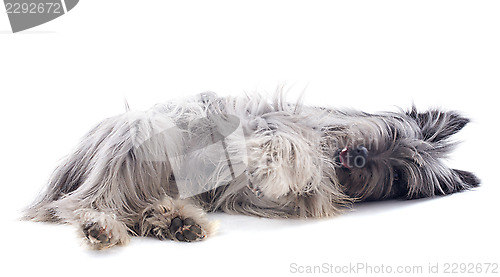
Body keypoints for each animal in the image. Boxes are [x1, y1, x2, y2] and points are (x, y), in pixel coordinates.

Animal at [24, 91, 480, 249]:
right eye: (389, 134)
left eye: (399, 176)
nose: (358, 157)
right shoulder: (266, 122)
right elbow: (282, 142)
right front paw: (275, 161)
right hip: (141, 134)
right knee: (88, 202)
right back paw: (102, 226)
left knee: (137, 210)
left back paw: (176, 223)